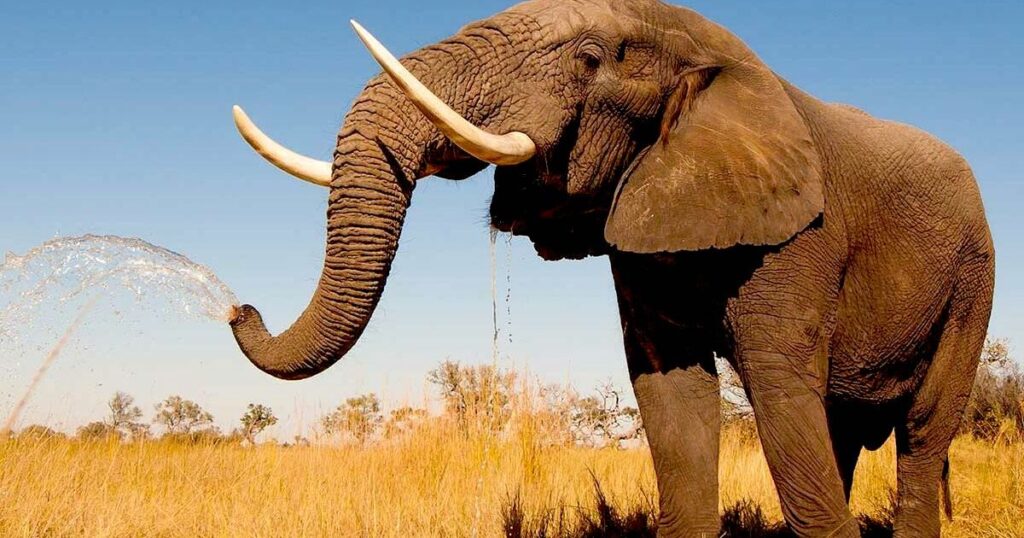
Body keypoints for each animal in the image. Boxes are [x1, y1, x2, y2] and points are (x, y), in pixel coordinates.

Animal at [227, 1, 995, 536]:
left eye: (591, 57)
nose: (239, 308)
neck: (711, 51)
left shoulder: (803, 234)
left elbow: (779, 387)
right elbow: (672, 390)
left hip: (973, 279)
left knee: (923, 428)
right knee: (840, 428)